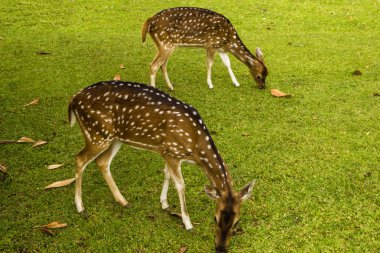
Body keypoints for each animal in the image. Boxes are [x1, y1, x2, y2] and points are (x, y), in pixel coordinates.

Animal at [70, 81, 256, 253]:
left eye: (237, 221)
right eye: (215, 218)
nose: (220, 248)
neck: (196, 148)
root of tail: (74, 99)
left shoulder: (166, 151)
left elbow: (166, 174)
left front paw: (164, 203)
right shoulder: (172, 152)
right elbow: (180, 185)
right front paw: (188, 223)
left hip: (114, 138)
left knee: (102, 162)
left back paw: (123, 201)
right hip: (97, 134)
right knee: (79, 159)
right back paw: (80, 207)